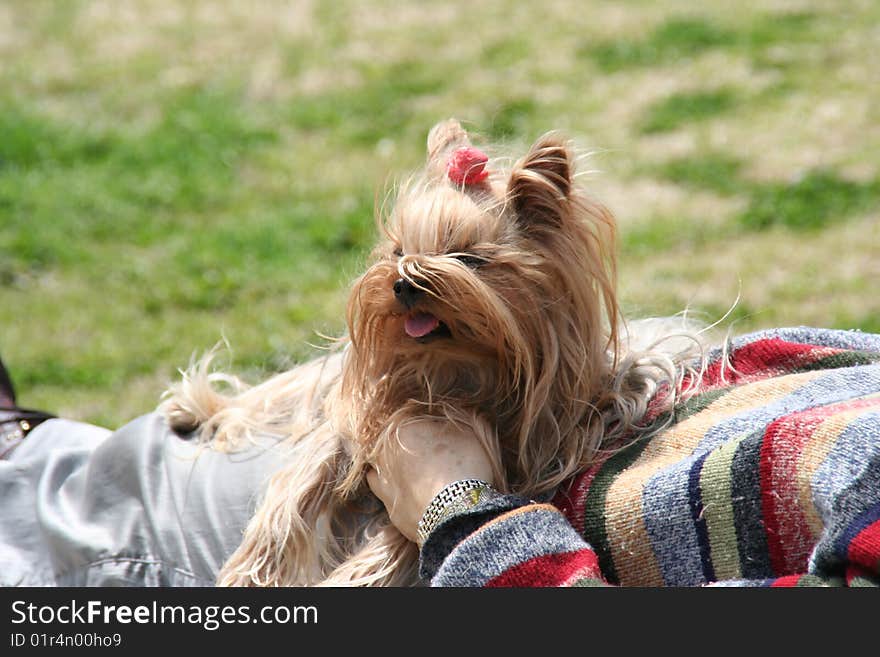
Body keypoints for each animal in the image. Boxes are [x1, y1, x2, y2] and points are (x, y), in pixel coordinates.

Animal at [162, 118, 692, 584]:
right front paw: (252, 573)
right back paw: (196, 408)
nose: (403, 281)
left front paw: (350, 578)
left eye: (468, 259)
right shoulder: (355, 421)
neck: (455, 367)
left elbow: (404, 538)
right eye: (399, 251)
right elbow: (297, 489)